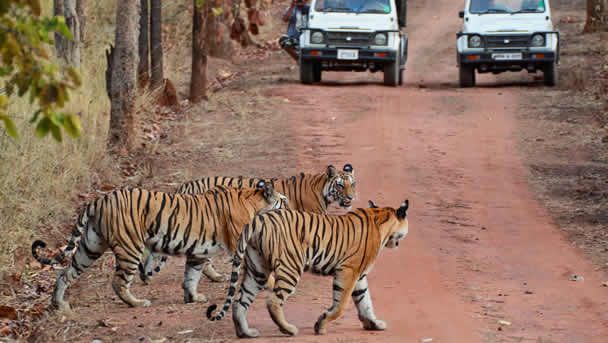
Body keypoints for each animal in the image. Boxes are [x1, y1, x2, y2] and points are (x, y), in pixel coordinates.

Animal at [31, 181, 290, 314]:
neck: (254, 202)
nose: (291, 209)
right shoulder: (239, 245)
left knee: (66, 273)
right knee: (118, 281)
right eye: (283, 201)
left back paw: (59, 304)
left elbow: (191, 276)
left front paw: (193, 297)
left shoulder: (198, 253)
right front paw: (272, 284)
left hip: (90, 246)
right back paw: (137, 303)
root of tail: (99, 198)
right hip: (130, 247)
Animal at [141, 164, 356, 284]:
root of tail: (185, 185)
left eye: (352, 183)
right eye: (340, 185)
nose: (351, 198)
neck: (321, 189)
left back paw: (146, 277)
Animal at [207, 199, 410, 338]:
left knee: (239, 301)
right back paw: (288, 329)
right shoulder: (349, 271)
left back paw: (246, 333)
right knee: (273, 301)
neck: (380, 217)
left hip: (257, 269)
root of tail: (259, 218)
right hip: (290, 267)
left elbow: (365, 301)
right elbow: (341, 305)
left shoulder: (359, 276)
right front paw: (320, 325)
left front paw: (374, 324)